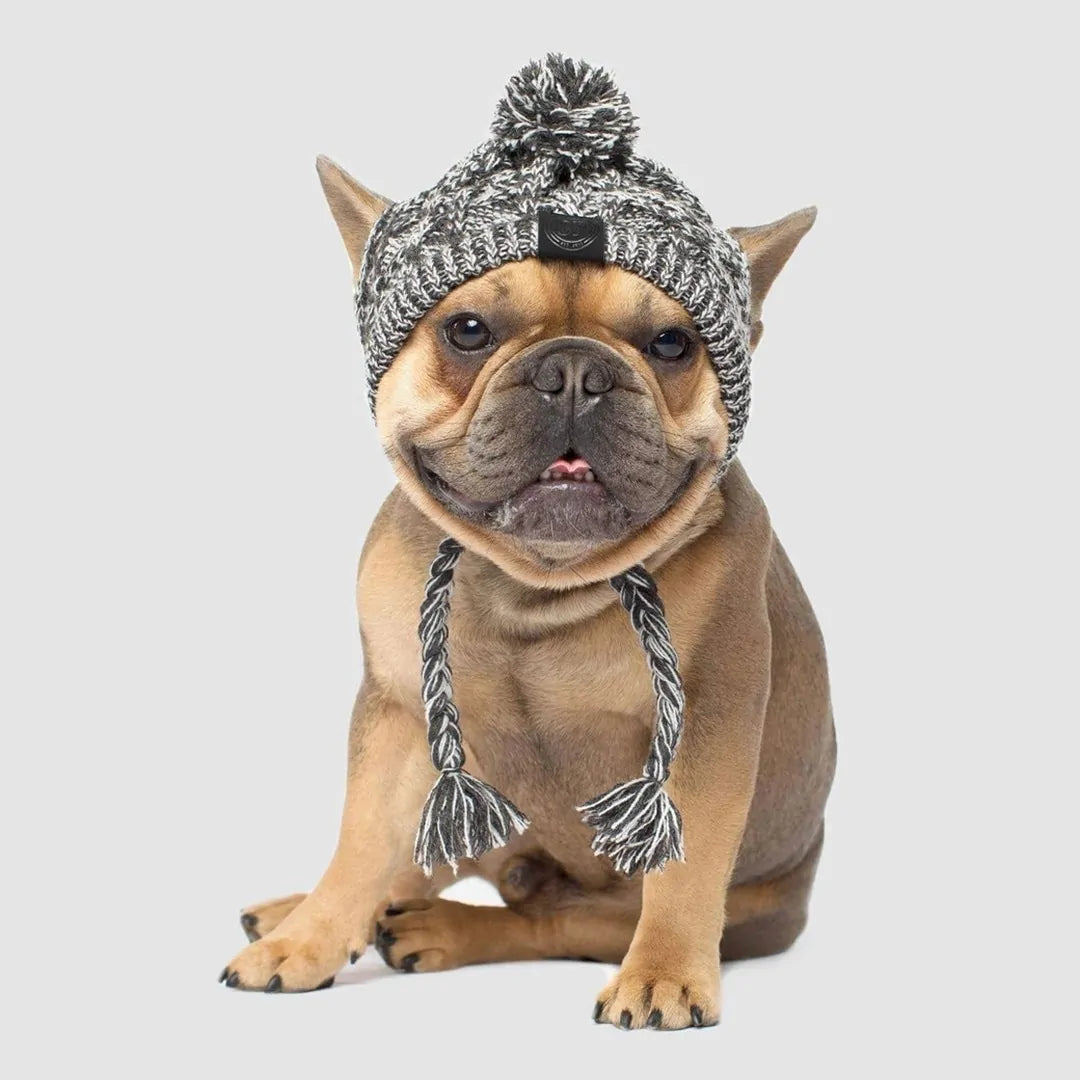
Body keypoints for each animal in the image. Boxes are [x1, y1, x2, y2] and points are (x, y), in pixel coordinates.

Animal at [217, 61, 833, 1028]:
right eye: (467, 329)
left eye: (672, 343)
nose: (575, 369)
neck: (537, 585)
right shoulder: (397, 714)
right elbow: (361, 837)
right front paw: (309, 939)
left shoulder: (707, 730)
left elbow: (684, 866)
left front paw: (665, 973)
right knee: (435, 860)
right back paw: (311, 909)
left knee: (557, 921)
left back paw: (442, 928)